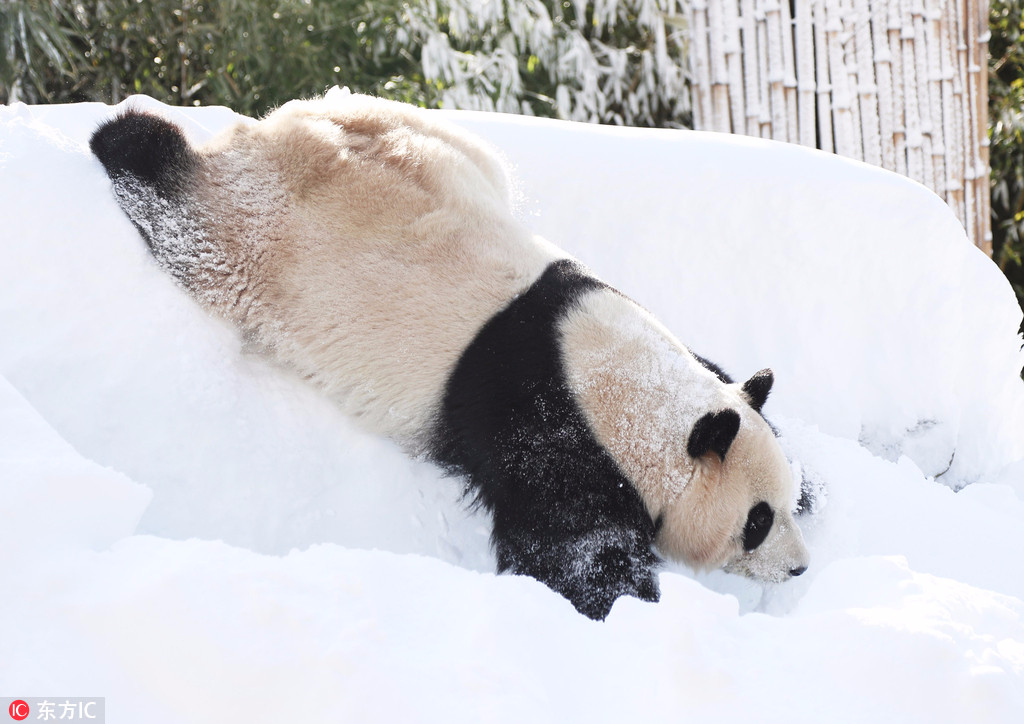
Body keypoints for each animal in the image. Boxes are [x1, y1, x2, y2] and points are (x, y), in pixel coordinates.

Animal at [90, 87, 806, 618]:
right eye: (756, 521)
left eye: (785, 501)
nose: (799, 566)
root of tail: (274, 132)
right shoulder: (545, 427)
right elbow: (573, 548)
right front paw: (635, 607)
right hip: (256, 235)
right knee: (180, 214)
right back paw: (124, 133)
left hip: (433, 142)